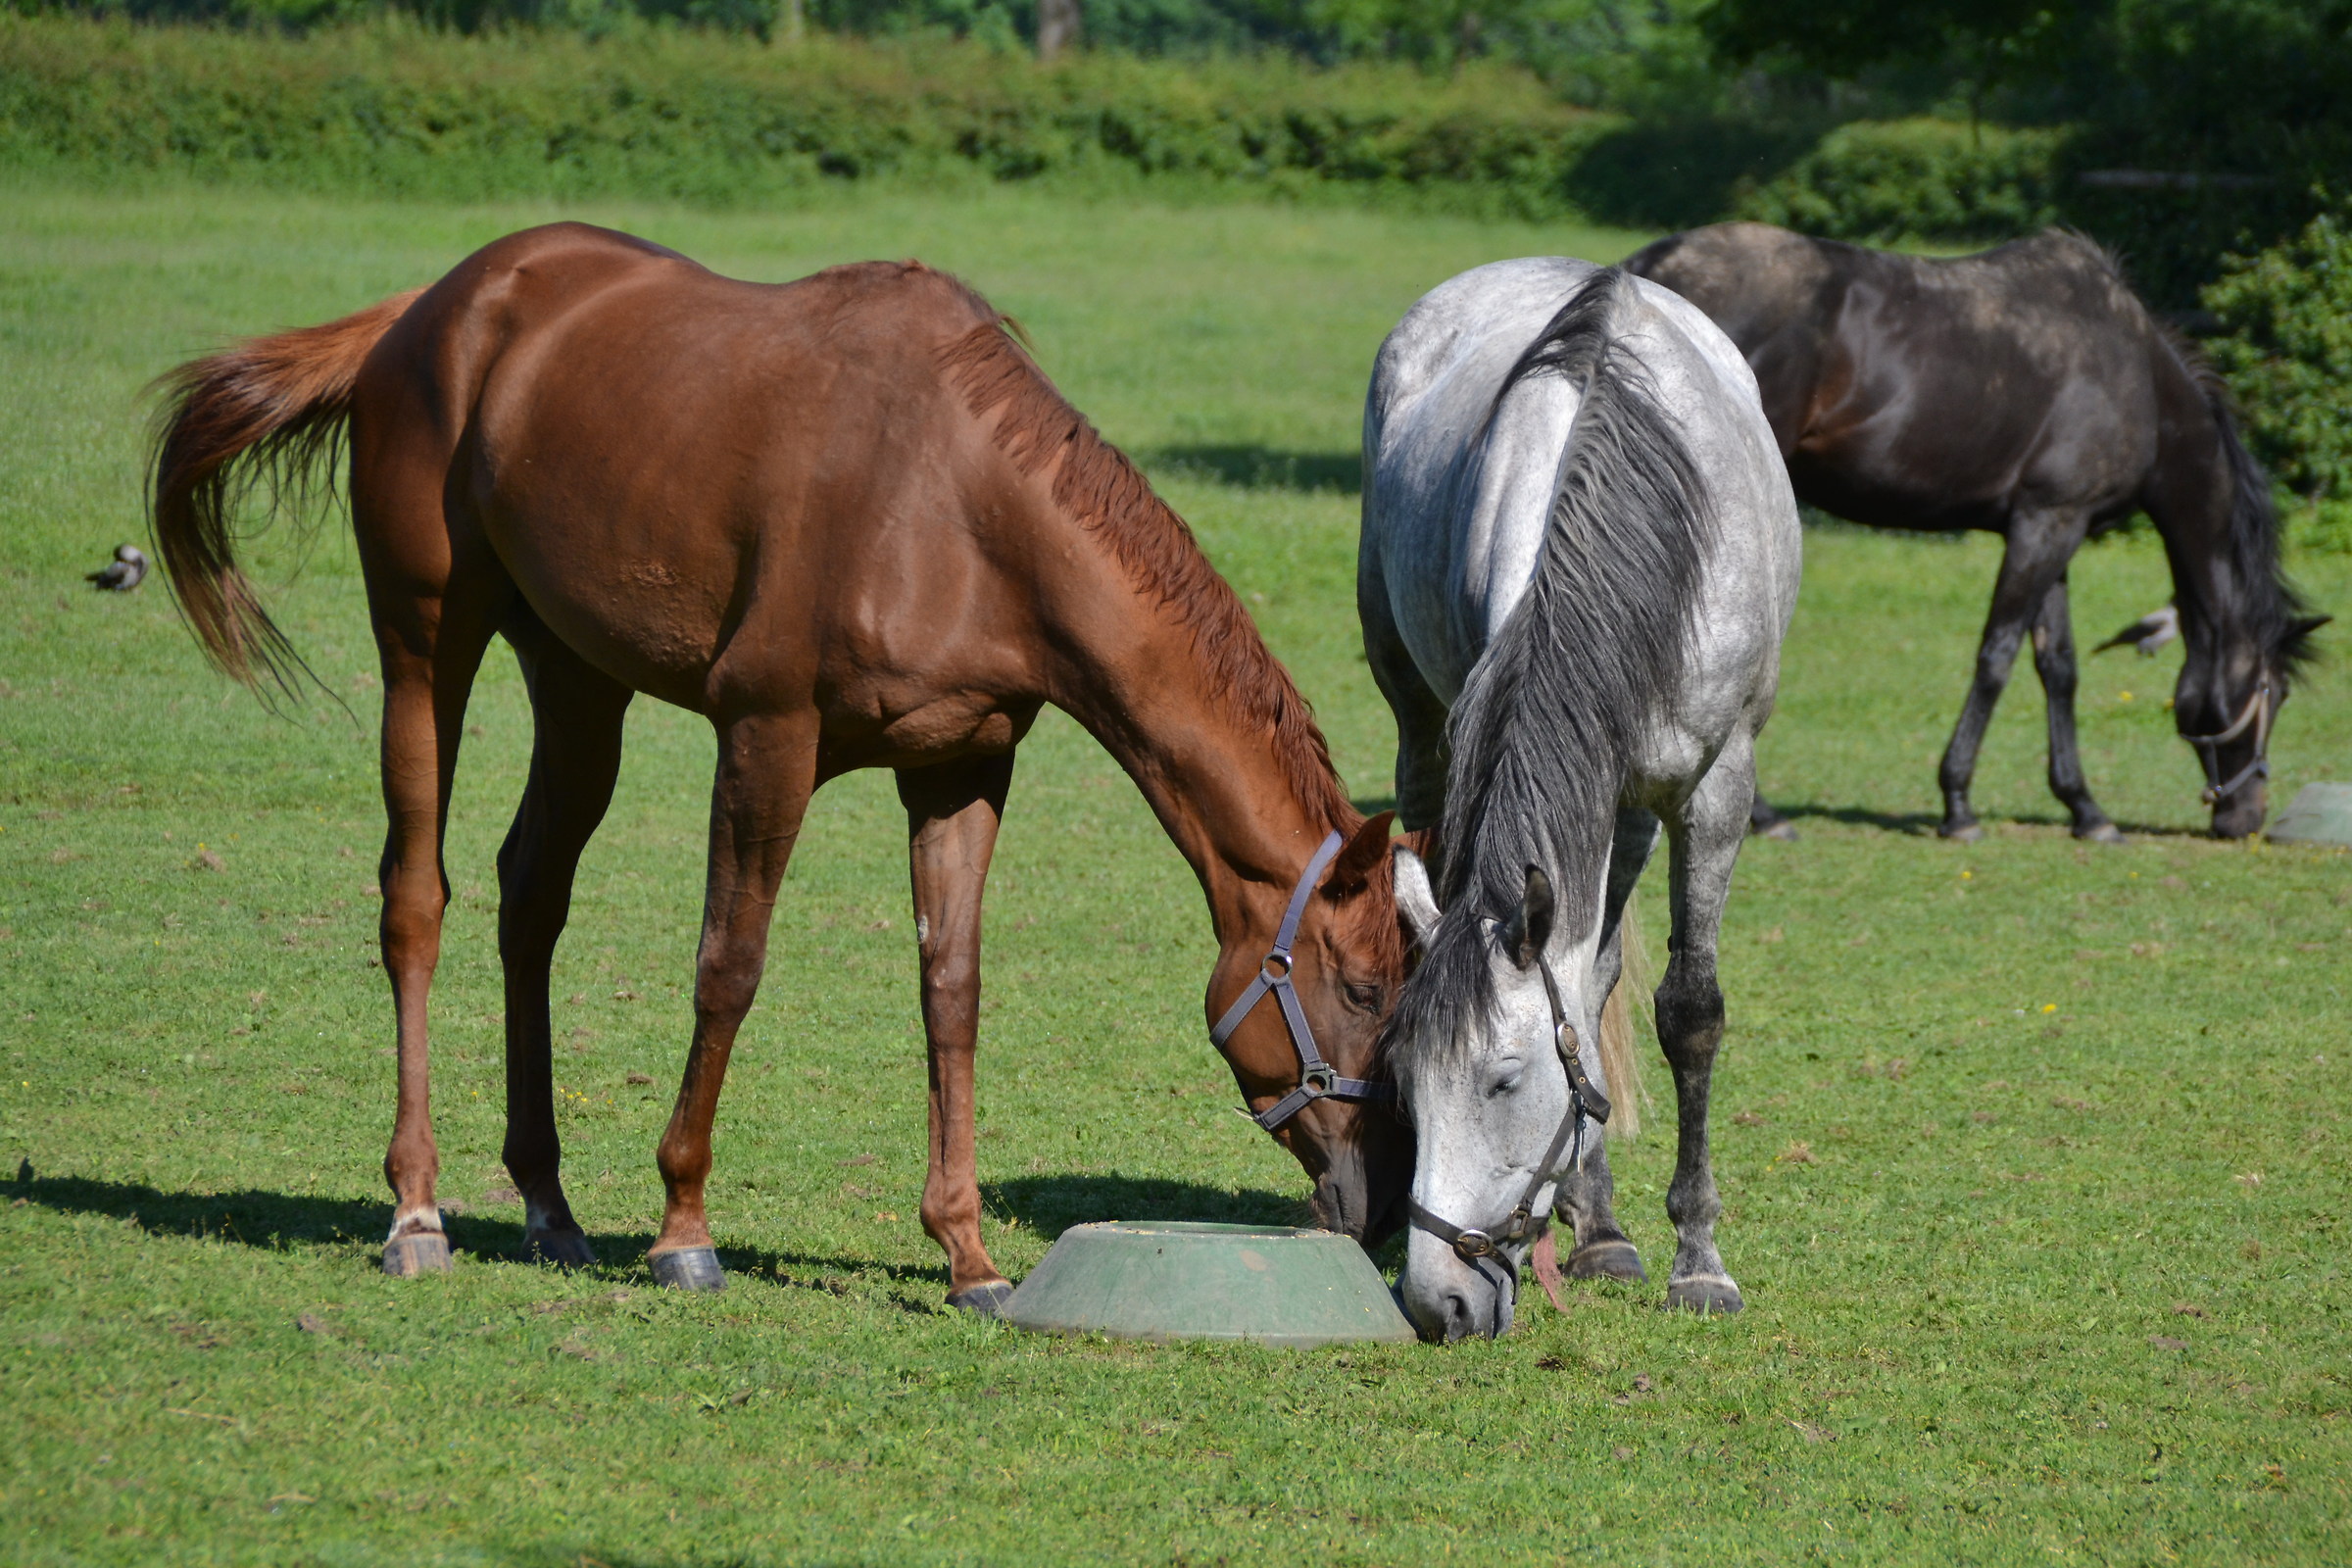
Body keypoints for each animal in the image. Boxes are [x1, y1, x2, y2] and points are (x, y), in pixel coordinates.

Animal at [147, 222, 1413, 1311]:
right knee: (416, 899)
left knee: (531, 898)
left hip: (578, 684)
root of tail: (428, 309)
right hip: (425, 649)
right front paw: (683, 1230)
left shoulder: (961, 768)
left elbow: (951, 991)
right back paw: (416, 1212)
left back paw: (550, 1207)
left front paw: (966, 1253)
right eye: (1360, 990)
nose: (1382, 1198)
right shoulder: (767, 735)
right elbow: (730, 965)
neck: (957, 502)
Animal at [1359, 261, 1799, 1339]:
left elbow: (1688, 1011)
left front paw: (1699, 1259)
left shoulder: (1714, 790)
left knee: (1597, 980)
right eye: (1404, 1081)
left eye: (1503, 1079)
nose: (1436, 1303)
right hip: (1420, 713)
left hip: (1629, 806)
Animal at [1625, 223, 2328, 843]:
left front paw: (2084, 807)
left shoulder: (2054, 527)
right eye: (2273, 694)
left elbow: (2058, 665)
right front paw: (1958, 805)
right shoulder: (2046, 526)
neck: (2140, 377)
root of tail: (1647, 270)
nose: (2245, 817)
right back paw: (1762, 815)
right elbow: (1996, 658)